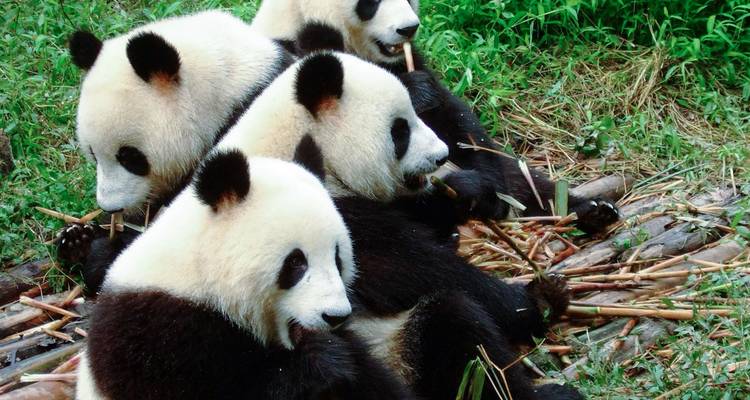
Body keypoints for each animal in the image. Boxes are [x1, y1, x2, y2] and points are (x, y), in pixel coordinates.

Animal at [216, 51, 584, 400]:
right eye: (401, 130)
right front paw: (536, 300)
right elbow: (419, 269)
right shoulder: (332, 220)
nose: (441, 155)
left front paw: (473, 193)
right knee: (461, 332)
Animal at [250, 1, 621, 234]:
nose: (408, 28)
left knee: (523, 180)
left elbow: (458, 121)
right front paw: (469, 194)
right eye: (370, 1)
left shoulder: (410, 61)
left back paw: (591, 210)